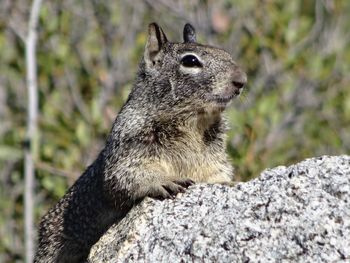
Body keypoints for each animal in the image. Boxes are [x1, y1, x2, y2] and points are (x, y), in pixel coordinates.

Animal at [32, 23, 246, 263]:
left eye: (226, 53)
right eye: (190, 61)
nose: (241, 80)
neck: (192, 124)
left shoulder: (214, 159)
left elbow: (217, 175)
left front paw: (227, 183)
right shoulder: (130, 145)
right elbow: (126, 176)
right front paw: (163, 181)